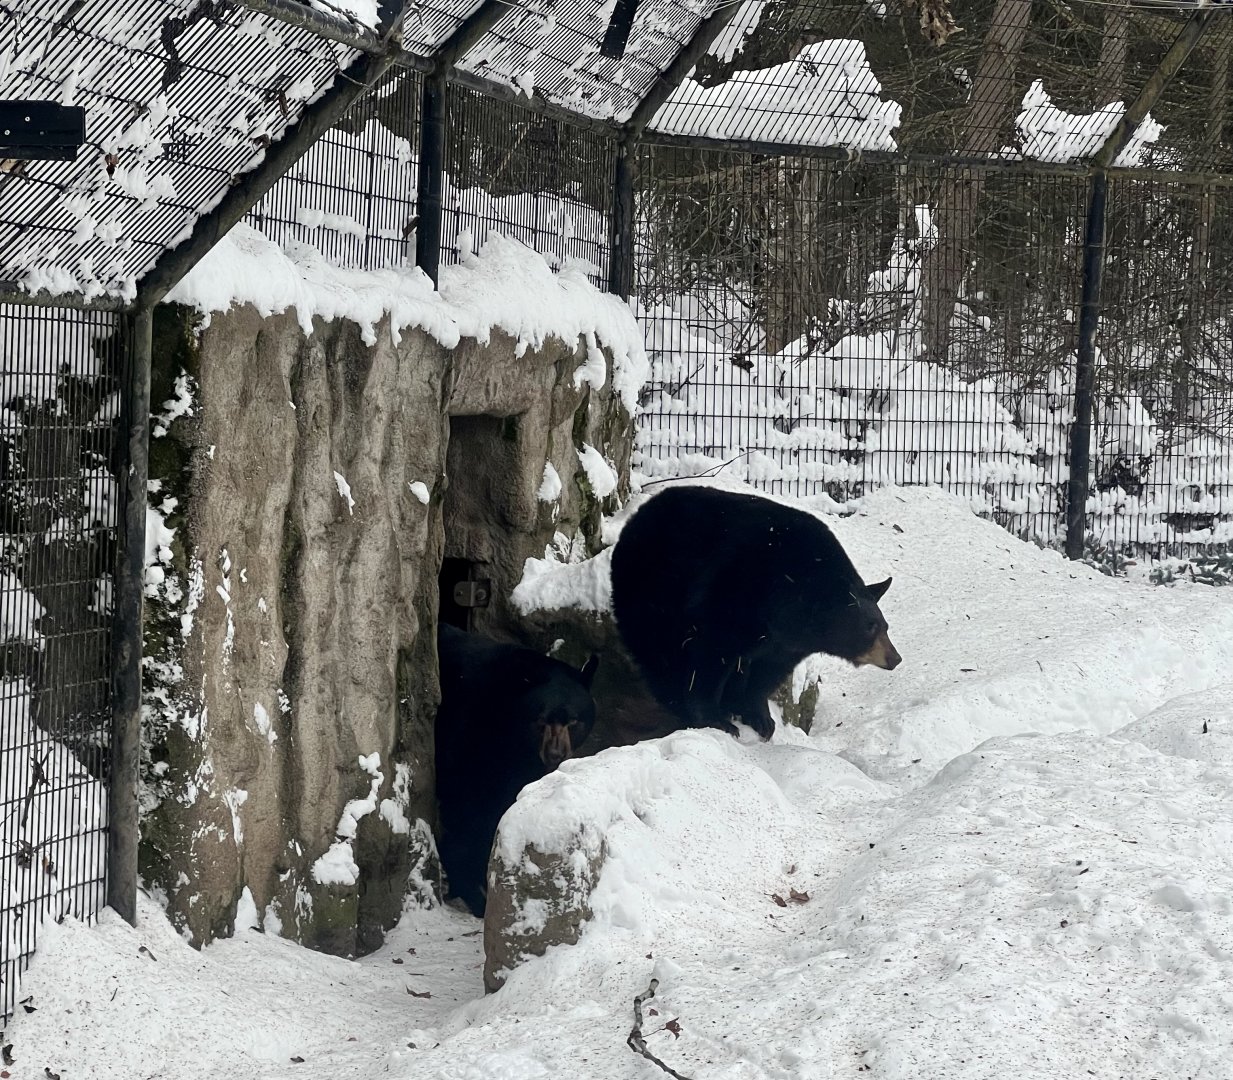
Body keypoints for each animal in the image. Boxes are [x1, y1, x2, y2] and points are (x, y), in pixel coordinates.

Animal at [434, 622, 599, 917]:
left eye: (573, 721)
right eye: (541, 719)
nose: (555, 754)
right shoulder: (466, 732)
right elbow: (466, 808)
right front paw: (474, 892)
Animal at [609, 484, 900, 741]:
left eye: (886, 626)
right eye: (871, 626)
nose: (894, 658)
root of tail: (639, 514)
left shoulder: (787, 642)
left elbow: (767, 672)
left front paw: (760, 718)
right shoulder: (733, 599)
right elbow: (711, 656)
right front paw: (715, 719)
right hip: (654, 591)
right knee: (661, 652)